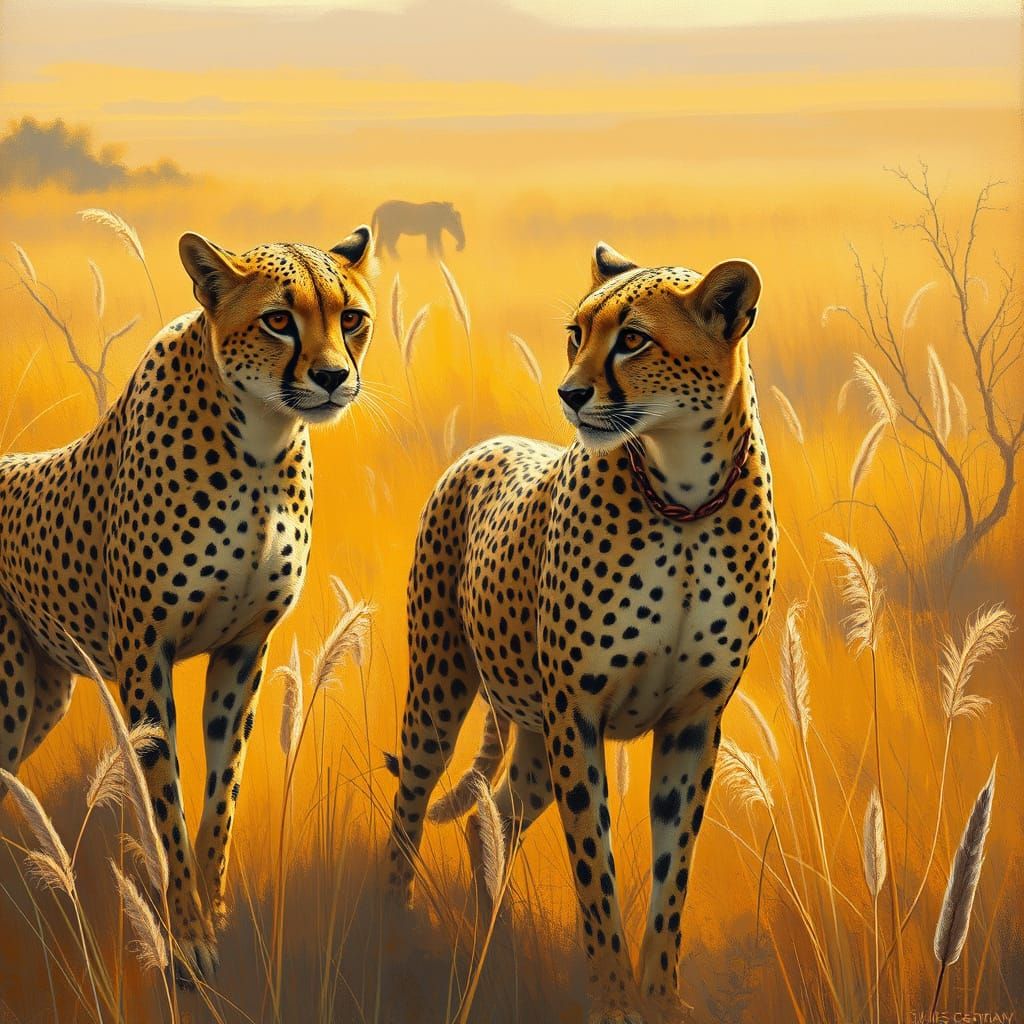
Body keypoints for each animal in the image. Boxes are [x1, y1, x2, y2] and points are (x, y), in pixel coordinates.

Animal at [0, 225, 377, 981]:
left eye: (351, 317)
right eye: (279, 320)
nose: (331, 377)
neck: (260, 441)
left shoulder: (244, 649)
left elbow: (221, 790)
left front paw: (214, 909)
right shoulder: (146, 656)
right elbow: (165, 795)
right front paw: (185, 934)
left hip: (40, 695)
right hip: (8, 695)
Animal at [386, 241, 777, 1023]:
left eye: (634, 339)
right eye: (577, 332)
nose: (570, 393)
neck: (683, 497)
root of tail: (486, 446)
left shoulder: (693, 721)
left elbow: (672, 871)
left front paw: (660, 997)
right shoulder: (579, 716)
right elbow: (595, 868)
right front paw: (612, 998)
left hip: (534, 740)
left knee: (497, 812)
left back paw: (492, 927)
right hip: (441, 690)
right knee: (410, 802)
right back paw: (387, 927)